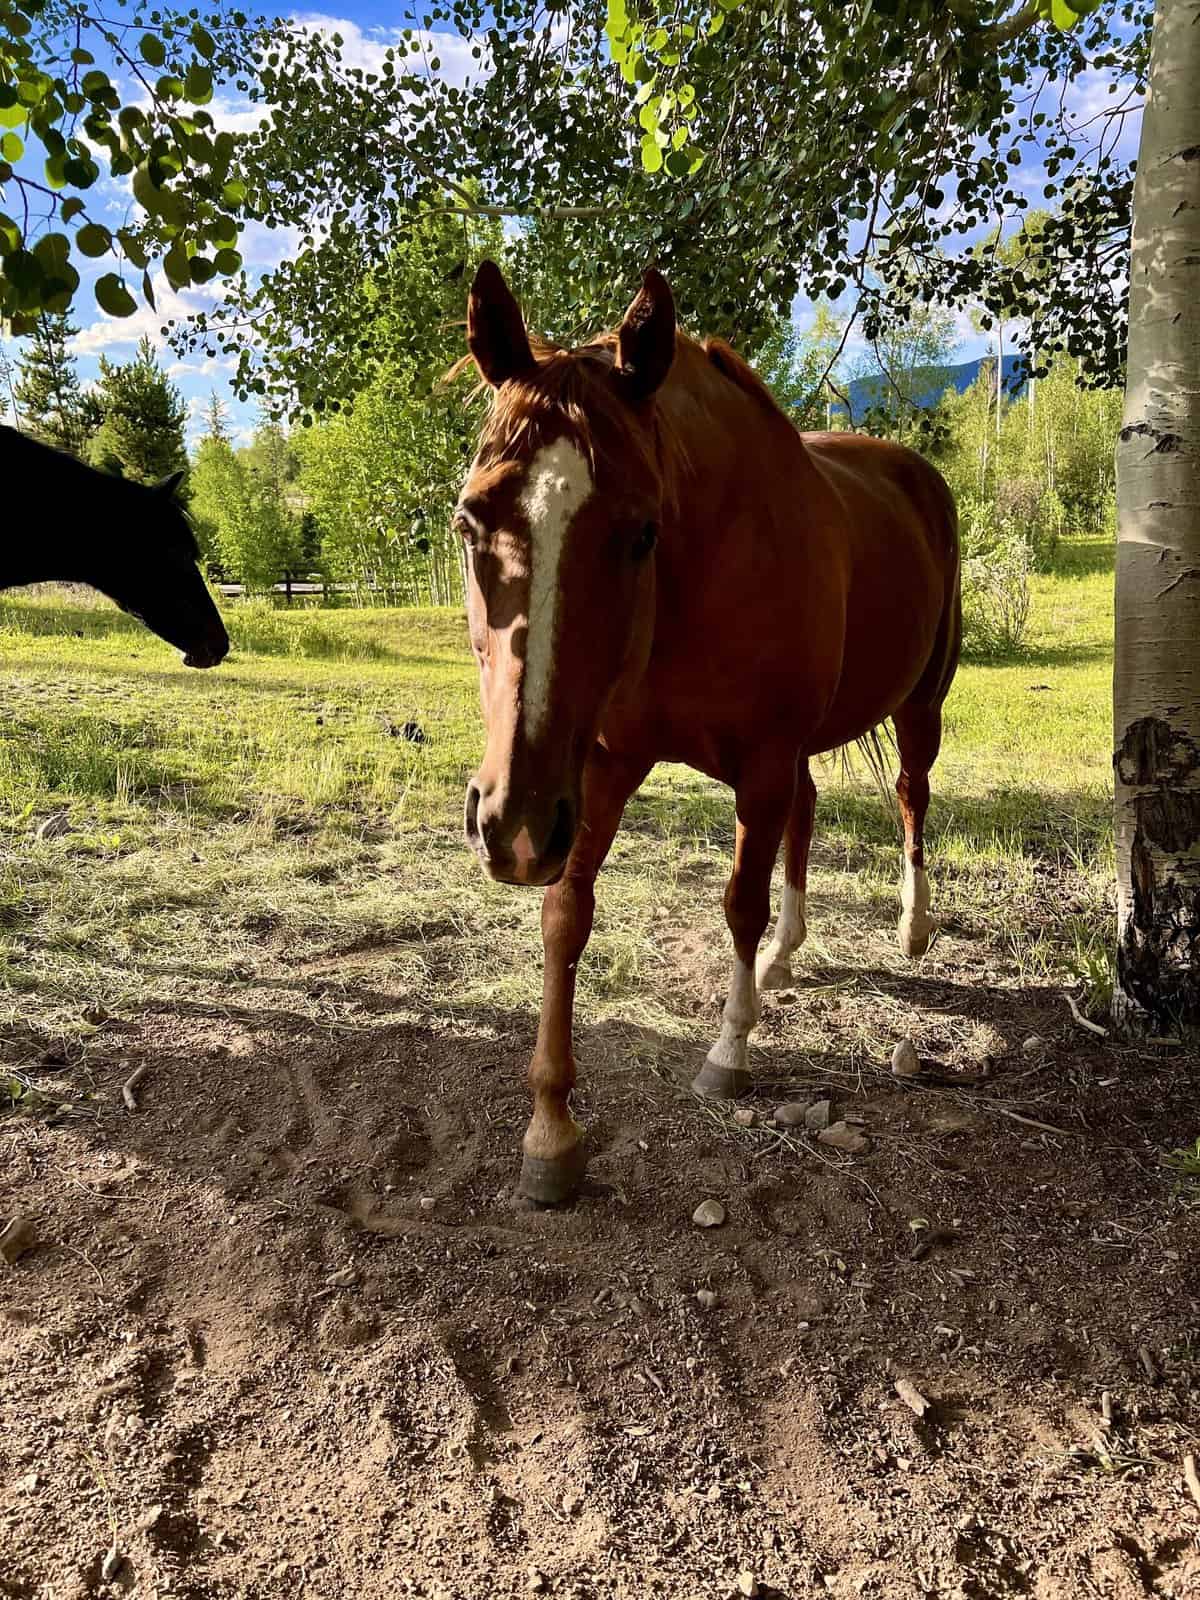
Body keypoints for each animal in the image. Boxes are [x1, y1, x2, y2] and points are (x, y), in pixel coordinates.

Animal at [456, 261, 960, 1205]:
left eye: (640, 530)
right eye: (471, 521)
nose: (511, 826)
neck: (700, 572)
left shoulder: (757, 763)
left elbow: (739, 902)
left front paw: (730, 1051)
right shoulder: (599, 767)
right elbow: (565, 917)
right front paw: (551, 1129)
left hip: (921, 703)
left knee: (911, 796)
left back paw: (911, 927)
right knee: (809, 812)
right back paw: (784, 960)